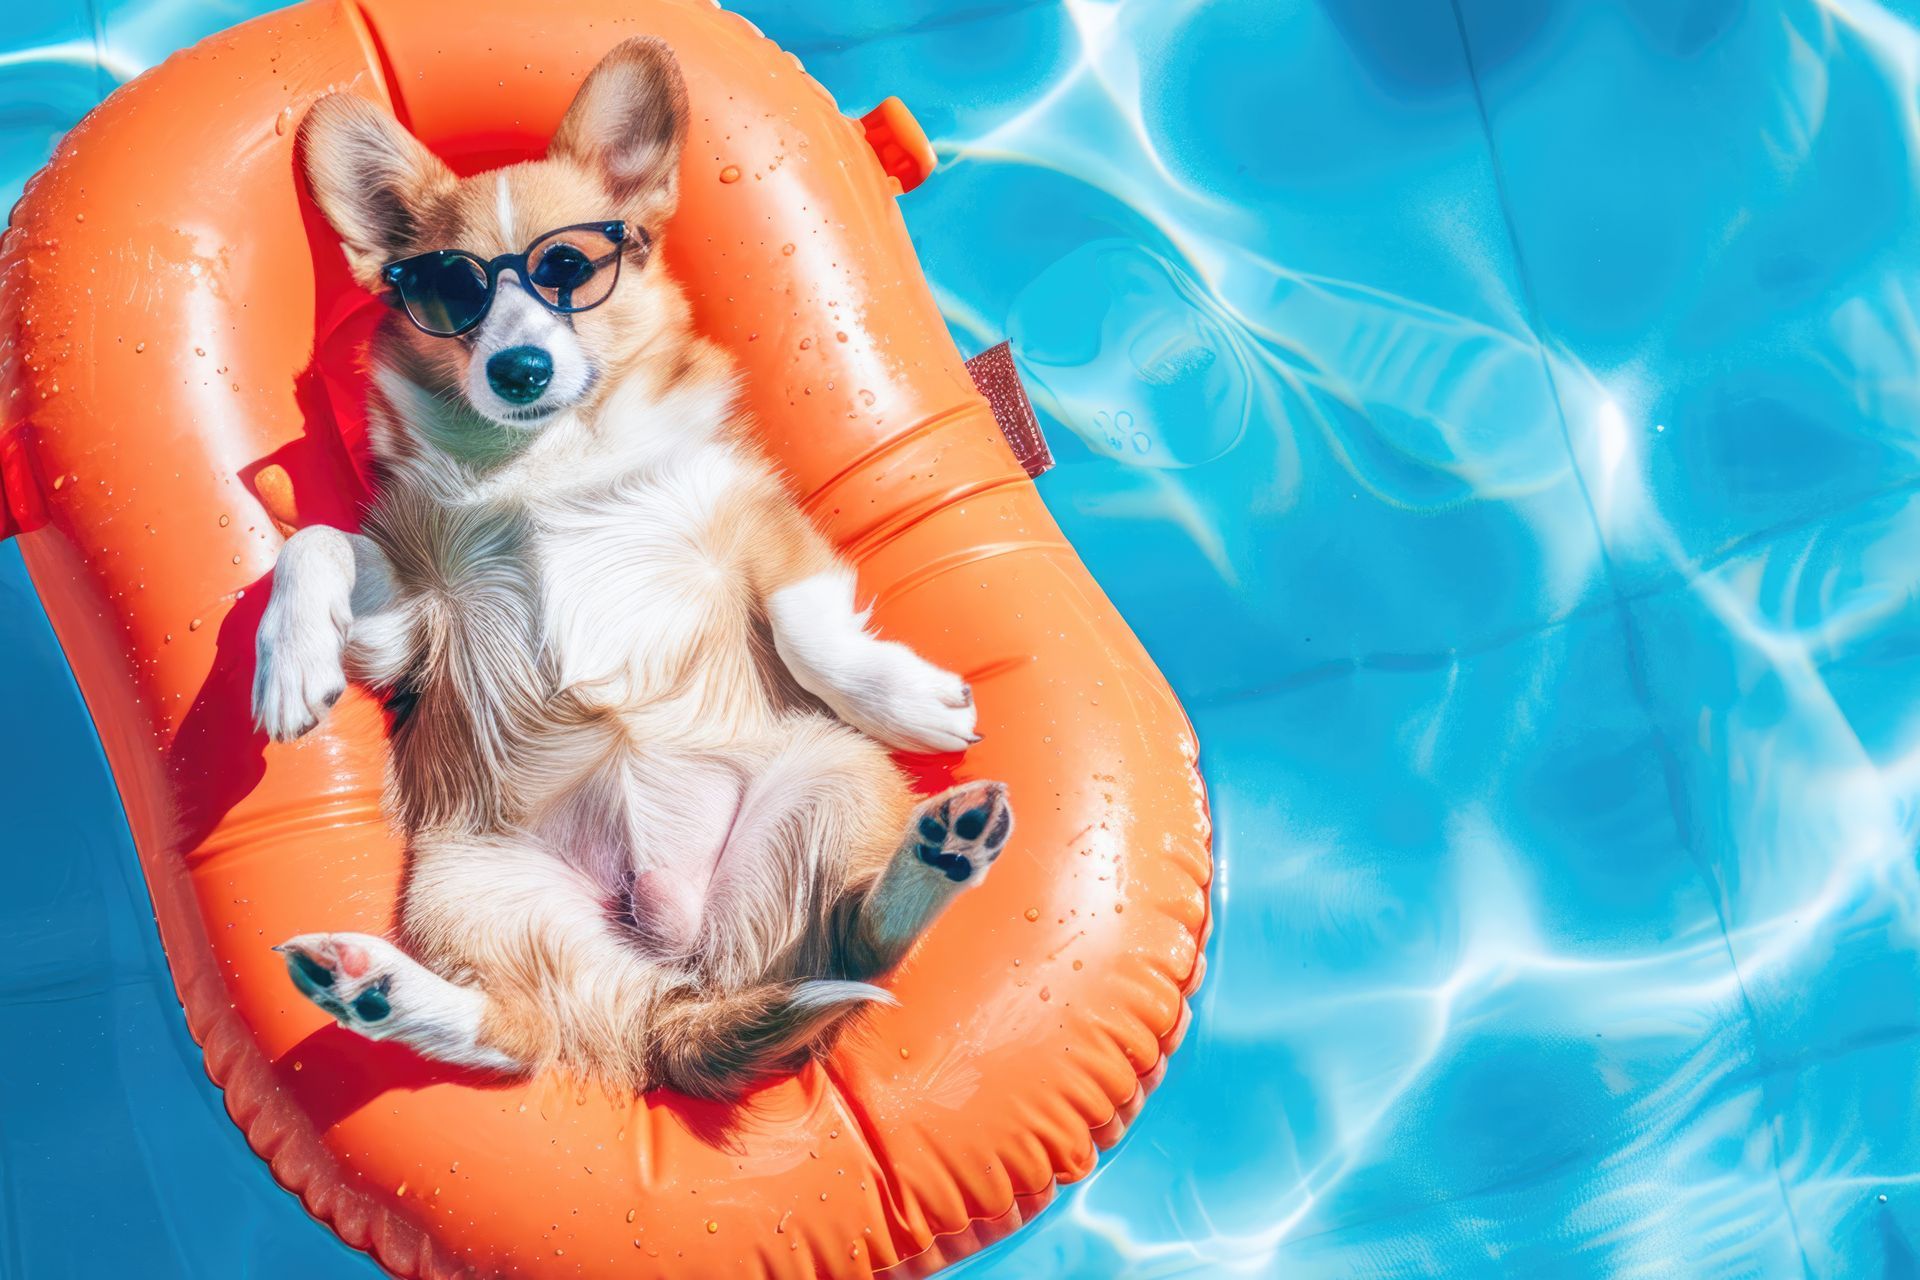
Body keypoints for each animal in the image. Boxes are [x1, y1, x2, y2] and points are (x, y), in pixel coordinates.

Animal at [251, 40, 1021, 1105]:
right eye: (452, 294)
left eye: (570, 270)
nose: (520, 370)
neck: (550, 458)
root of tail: (679, 975)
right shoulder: (410, 623)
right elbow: (313, 539)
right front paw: (290, 661)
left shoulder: (754, 518)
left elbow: (807, 629)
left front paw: (903, 697)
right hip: (472, 893)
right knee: (521, 1034)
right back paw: (376, 990)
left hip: (834, 783)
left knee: (860, 938)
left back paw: (939, 855)